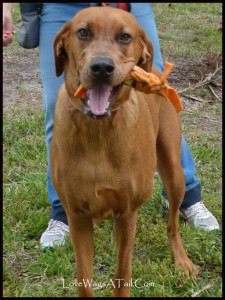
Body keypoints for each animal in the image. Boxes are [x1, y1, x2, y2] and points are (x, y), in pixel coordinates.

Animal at [50, 5, 197, 296]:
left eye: (125, 37)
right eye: (83, 32)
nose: (102, 67)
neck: (97, 129)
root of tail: (157, 70)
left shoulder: (128, 214)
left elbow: (122, 274)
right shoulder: (76, 217)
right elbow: (84, 279)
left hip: (174, 173)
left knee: (173, 224)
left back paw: (182, 261)